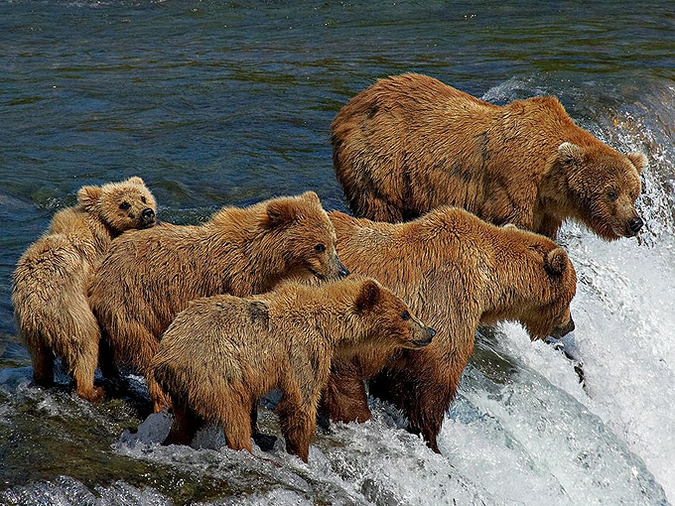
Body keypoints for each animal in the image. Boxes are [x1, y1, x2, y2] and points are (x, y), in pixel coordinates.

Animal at [11, 176, 157, 402]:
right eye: (124, 204)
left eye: (143, 197)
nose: (147, 212)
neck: (105, 231)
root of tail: (36, 308)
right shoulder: (98, 266)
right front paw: (115, 375)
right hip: (72, 315)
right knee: (86, 346)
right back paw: (93, 389)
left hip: (28, 332)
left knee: (40, 359)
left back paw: (43, 380)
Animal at [88, 192, 348, 414]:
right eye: (319, 246)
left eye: (334, 242)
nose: (343, 271)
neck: (263, 259)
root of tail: (102, 265)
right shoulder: (236, 282)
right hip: (134, 299)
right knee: (145, 348)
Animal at [151, 276, 434, 462]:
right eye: (406, 313)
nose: (430, 331)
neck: (328, 324)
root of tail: (164, 357)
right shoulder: (304, 349)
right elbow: (301, 401)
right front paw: (301, 453)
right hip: (215, 375)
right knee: (235, 416)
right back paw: (246, 450)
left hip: (187, 390)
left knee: (184, 422)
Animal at [320, 208, 576, 452]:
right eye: (571, 296)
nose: (570, 325)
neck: (489, 283)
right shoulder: (447, 299)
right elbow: (435, 379)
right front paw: (431, 439)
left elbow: (394, 381)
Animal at [332, 72, 648, 240]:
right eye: (611, 192)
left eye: (634, 192)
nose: (635, 222)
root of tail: (349, 107)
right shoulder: (515, 185)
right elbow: (508, 221)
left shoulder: (545, 210)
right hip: (383, 158)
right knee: (380, 203)